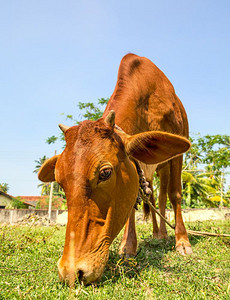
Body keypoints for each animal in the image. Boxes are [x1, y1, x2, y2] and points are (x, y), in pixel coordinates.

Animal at [38, 54, 191, 286]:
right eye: (60, 181)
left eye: (105, 173)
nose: (71, 271)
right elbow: (133, 205)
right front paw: (128, 246)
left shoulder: (177, 155)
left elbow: (175, 195)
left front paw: (182, 242)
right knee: (152, 198)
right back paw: (156, 234)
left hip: (164, 167)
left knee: (163, 197)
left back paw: (164, 235)